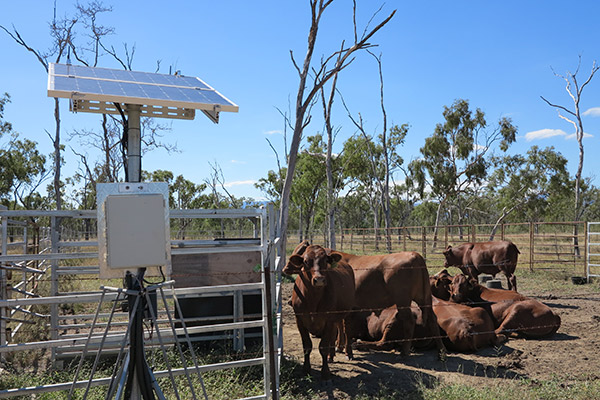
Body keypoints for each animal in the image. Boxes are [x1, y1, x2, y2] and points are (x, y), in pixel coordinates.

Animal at [282, 241, 446, 356]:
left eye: (298, 254)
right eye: (304, 259)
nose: (285, 268)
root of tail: (415, 255)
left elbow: (341, 326)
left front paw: (340, 347)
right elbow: (341, 325)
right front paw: (340, 346)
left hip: (403, 300)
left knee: (409, 321)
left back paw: (405, 351)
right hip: (424, 297)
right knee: (432, 319)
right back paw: (441, 351)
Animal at [282, 244, 354, 382]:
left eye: (325, 260)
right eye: (305, 261)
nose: (319, 280)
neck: (313, 299)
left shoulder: (328, 320)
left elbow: (323, 347)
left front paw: (325, 373)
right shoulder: (300, 320)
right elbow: (307, 346)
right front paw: (306, 370)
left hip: (347, 313)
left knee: (346, 330)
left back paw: (348, 353)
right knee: (337, 329)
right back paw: (332, 354)